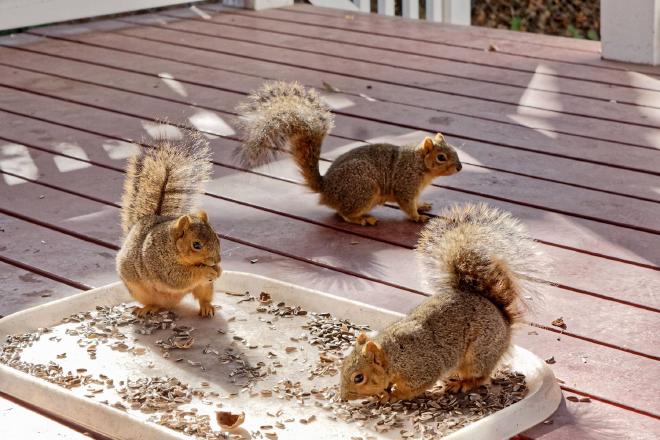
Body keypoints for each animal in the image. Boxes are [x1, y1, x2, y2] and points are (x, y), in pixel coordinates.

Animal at [116, 133, 222, 318]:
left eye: (217, 238)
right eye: (196, 245)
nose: (216, 260)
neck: (172, 246)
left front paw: (219, 269)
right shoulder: (161, 264)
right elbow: (179, 277)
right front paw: (206, 271)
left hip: (205, 287)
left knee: (203, 297)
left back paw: (207, 307)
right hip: (139, 290)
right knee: (157, 303)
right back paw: (148, 308)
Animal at [235, 81, 462, 226]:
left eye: (453, 150)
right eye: (441, 157)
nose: (460, 167)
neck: (419, 165)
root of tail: (326, 189)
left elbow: (415, 202)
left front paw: (422, 206)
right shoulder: (405, 184)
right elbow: (407, 205)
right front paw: (417, 217)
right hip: (364, 189)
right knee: (343, 214)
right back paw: (362, 219)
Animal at [340, 203, 544, 402]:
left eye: (359, 378)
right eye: (342, 365)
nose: (342, 398)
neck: (393, 356)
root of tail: (503, 319)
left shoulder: (421, 368)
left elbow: (414, 387)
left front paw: (394, 395)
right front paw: (383, 392)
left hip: (479, 353)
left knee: (480, 377)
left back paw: (462, 384)